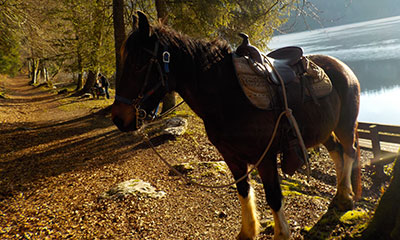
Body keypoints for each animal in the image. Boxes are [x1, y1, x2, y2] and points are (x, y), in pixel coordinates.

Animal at [111, 11, 360, 240]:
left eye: (138, 63)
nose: (119, 118)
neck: (228, 95)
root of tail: (342, 66)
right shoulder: (230, 156)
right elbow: (243, 190)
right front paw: (248, 231)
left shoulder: (265, 157)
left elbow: (273, 197)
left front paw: (281, 233)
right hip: (324, 130)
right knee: (337, 152)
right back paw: (340, 194)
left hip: (345, 125)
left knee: (349, 151)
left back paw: (346, 198)